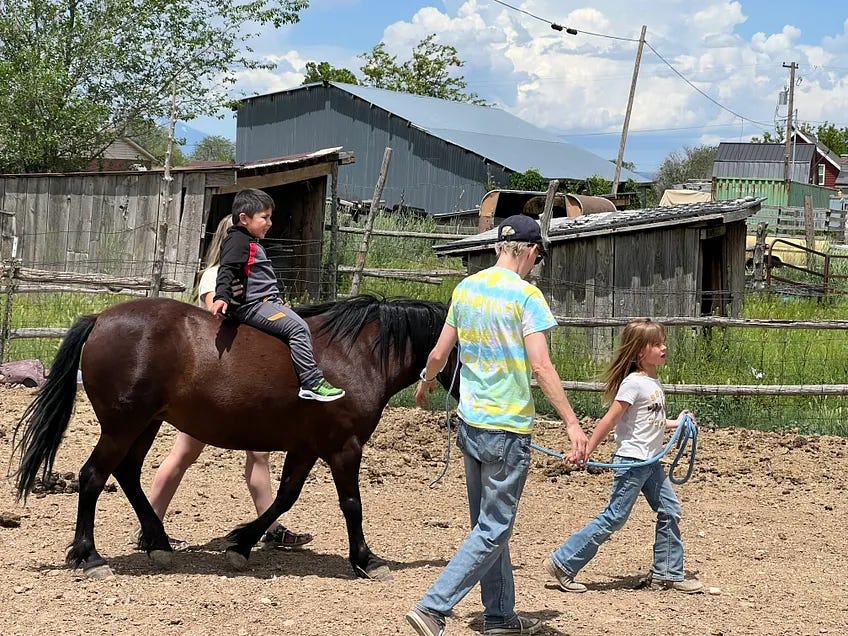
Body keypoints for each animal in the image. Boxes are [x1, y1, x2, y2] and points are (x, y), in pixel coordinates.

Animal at [13, 296, 450, 580]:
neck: (358, 353)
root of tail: (100, 317)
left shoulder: (306, 447)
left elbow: (284, 497)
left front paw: (241, 544)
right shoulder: (344, 447)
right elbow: (351, 505)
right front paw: (366, 559)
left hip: (145, 424)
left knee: (128, 475)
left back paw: (158, 543)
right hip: (123, 425)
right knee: (93, 476)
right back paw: (90, 557)